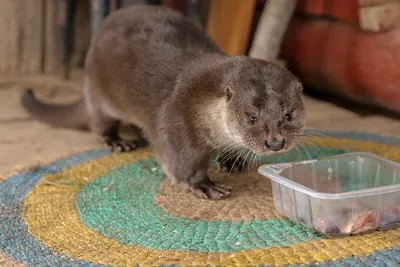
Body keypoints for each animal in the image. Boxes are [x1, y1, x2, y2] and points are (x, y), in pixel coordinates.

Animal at [20, 5, 304, 200]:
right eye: (251, 118)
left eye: (289, 115)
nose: (275, 143)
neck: (202, 105)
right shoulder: (177, 121)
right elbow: (182, 163)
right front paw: (204, 184)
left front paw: (232, 159)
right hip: (98, 94)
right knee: (100, 124)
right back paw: (118, 142)